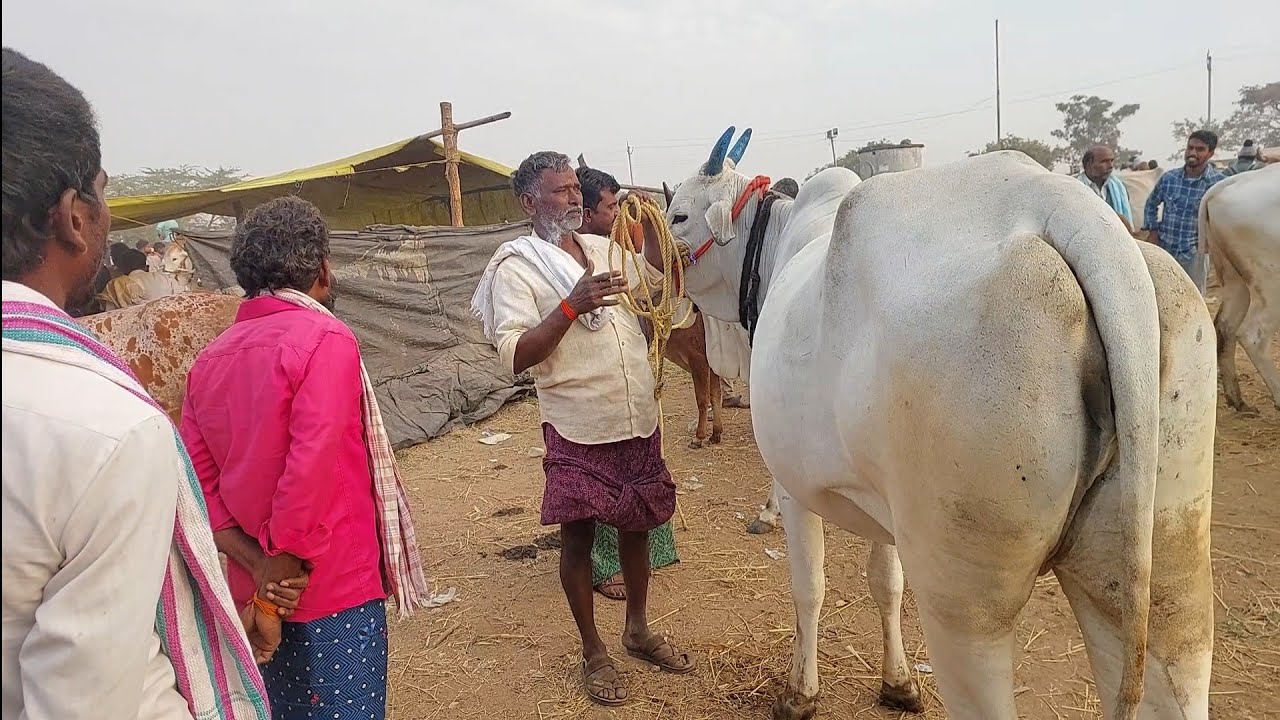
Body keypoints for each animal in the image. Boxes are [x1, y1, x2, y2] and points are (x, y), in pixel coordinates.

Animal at [664, 128, 1216, 720]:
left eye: (678, 214)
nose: (658, 275)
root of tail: (1058, 202)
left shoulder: (798, 486)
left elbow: (809, 586)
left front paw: (799, 693)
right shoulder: (881, 501)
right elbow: (886, 583)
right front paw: (898, 682)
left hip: (965, 605)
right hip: (1161, 576)